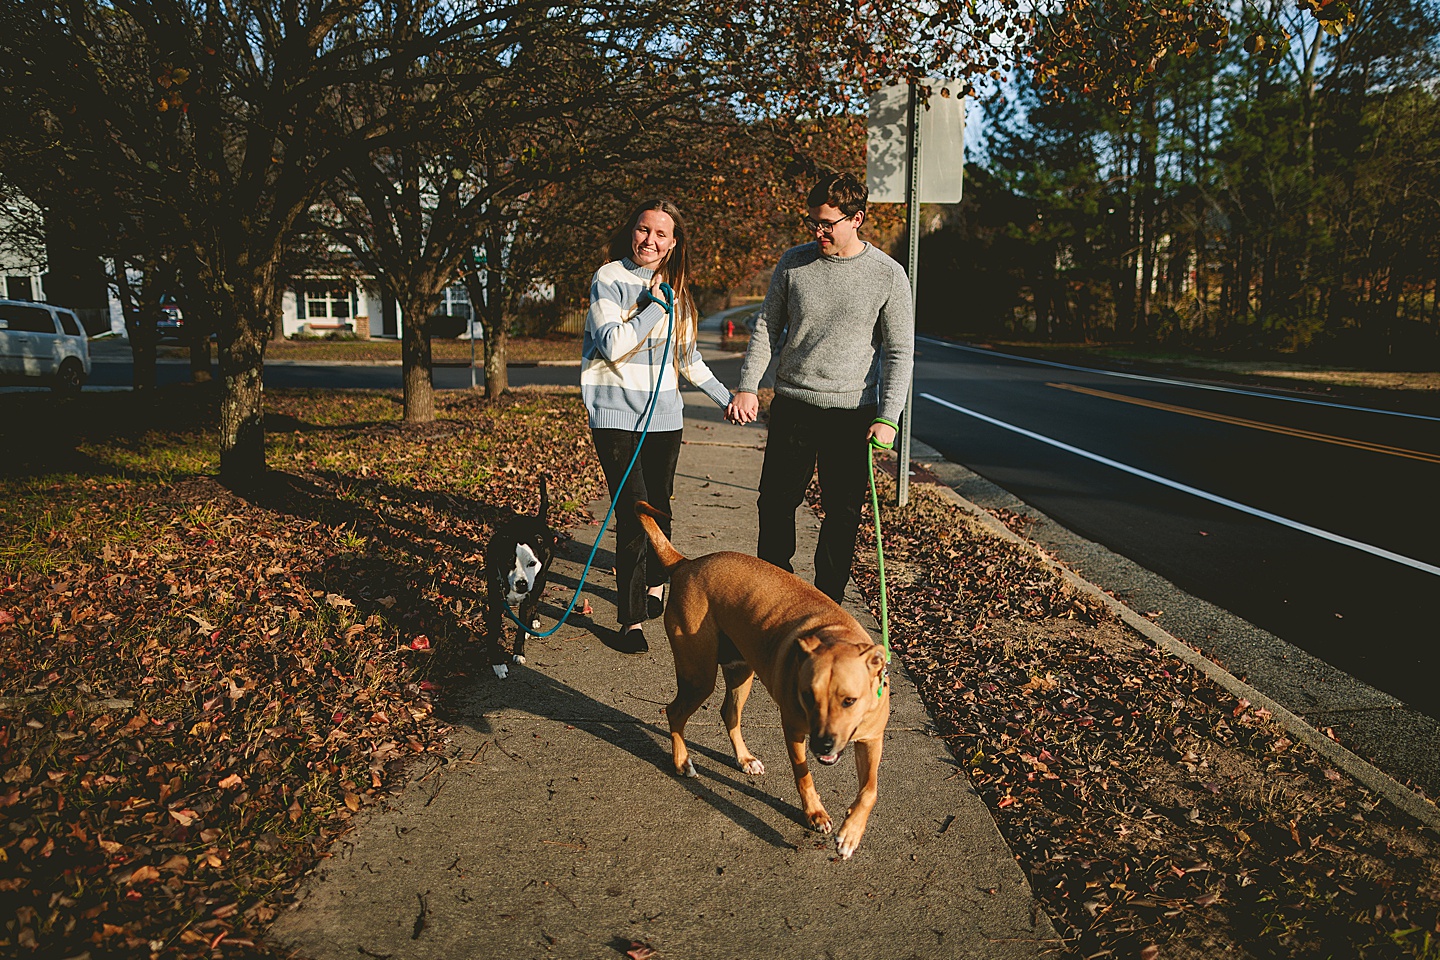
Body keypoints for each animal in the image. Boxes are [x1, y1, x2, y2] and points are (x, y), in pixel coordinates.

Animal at [480, 477, 552, 679]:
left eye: (532, 563)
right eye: (508, 562)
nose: (521, 584)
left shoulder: (530, 592)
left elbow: (521, 629)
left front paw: (519, 652)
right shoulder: (496, 602)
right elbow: (494, 632)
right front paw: (497, 663)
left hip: (540, 581)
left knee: (534, 601)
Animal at [633, 500, 887, 857]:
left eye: (849, 701)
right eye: (808, 696)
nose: (822, 744)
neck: (836, 634)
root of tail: (686, 564)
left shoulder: (871, 740)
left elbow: (870, 790)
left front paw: (851, 832)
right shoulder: (794, 730)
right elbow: (803, 775)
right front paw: (815, 813)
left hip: (741, 672)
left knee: (728, 713)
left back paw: (744, 759)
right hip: (699, 675)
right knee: (674, 712)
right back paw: (682, 762)